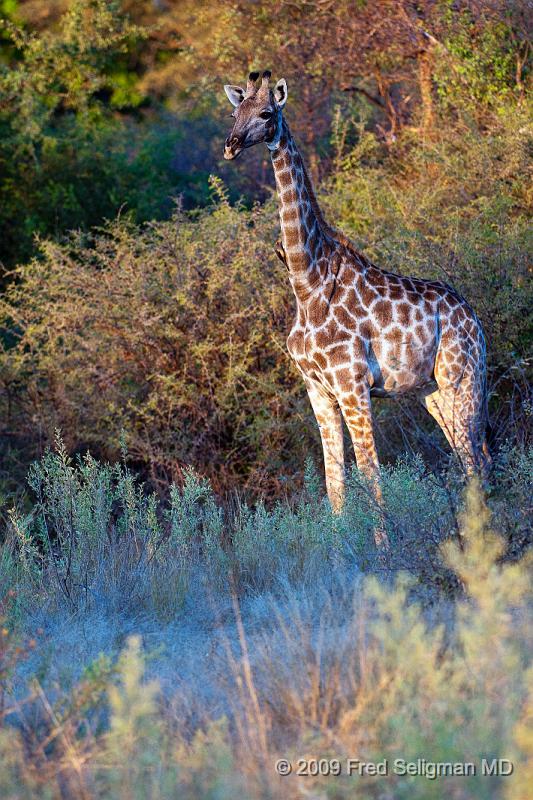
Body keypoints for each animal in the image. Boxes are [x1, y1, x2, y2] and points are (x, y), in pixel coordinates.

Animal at [222, 72, 488, 544]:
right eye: (235, 112)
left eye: (267, 113)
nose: (232, 145)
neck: (306, 282)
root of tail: (474, 318)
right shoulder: (317, 390)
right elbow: (335, 486)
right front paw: (341, 552)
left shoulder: (352, 386)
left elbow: (370, 474)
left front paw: (382, 553)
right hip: (434, 393)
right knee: (471, 458)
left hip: (462, 379)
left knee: (474, 459)